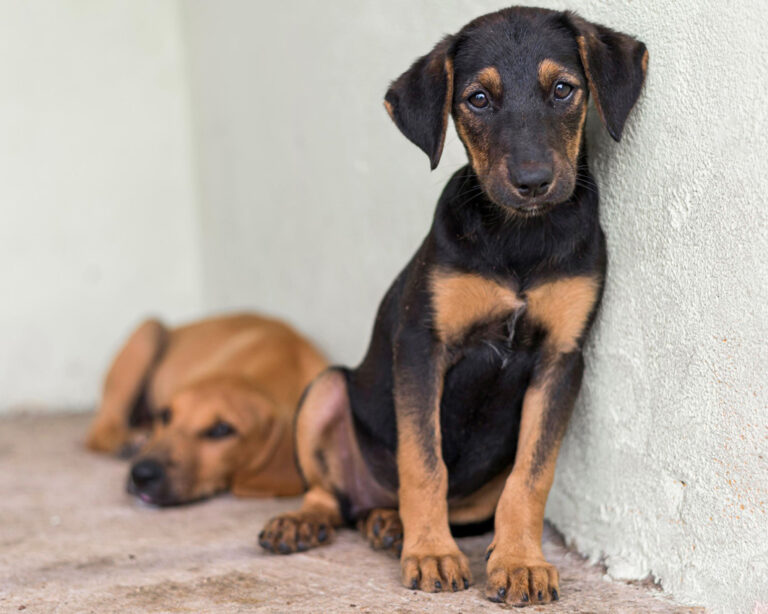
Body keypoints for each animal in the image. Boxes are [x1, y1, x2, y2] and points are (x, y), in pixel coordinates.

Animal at [88, 316, 328, 508]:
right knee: (98, 431)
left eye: (222, 430)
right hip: (148, 331)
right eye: (166, 415)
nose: (141, 475)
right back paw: (127, 441)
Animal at [260, 7, 648, 608]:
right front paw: (431, 554)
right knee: (329, 490)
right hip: (326, 388)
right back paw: (310, 522)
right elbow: (424, 463)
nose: (532, 182)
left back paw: (387, 523)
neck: (518, 238)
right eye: (478, 99)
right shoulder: (423, 346)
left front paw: (520, 562)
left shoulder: (561, 359)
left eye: (563, 89)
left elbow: (531, 477)